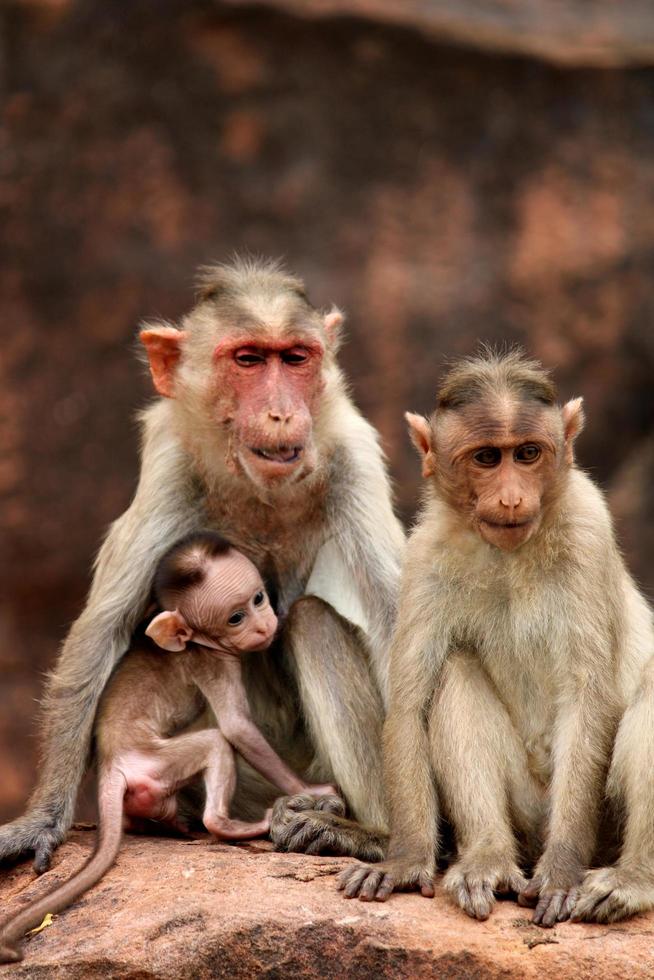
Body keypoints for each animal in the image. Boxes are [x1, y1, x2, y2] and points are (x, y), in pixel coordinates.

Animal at [0, 255, 404, 872]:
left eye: (295, 358)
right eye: (248, 360)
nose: (282, 412)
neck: (257, 491)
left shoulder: (350, 456)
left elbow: (399, 629)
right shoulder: (172, 462)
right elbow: (102, 632)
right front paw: (41, 819)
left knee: (313, 622)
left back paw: (365, 834)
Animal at [0, 532, 338, 960]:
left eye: (258, 598)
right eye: (235, 617)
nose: (265, 625)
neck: (196, 640)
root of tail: (111, 766)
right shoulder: (213, 662)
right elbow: (236, 728)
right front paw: (313, 791)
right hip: (155, 762)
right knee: (216, 745)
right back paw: (232, 825)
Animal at [340, 352, 654, 928]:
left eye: (527, 454)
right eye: (487, 458)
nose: (510, 497)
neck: (509, 553)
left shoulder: (589, 529)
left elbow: (588, 699)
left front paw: (561, 873)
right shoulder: (424, 555)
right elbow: (410, 707)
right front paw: (405, 859)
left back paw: (633, 878)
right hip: (527, 813)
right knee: (456, 669)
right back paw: (487, 857)